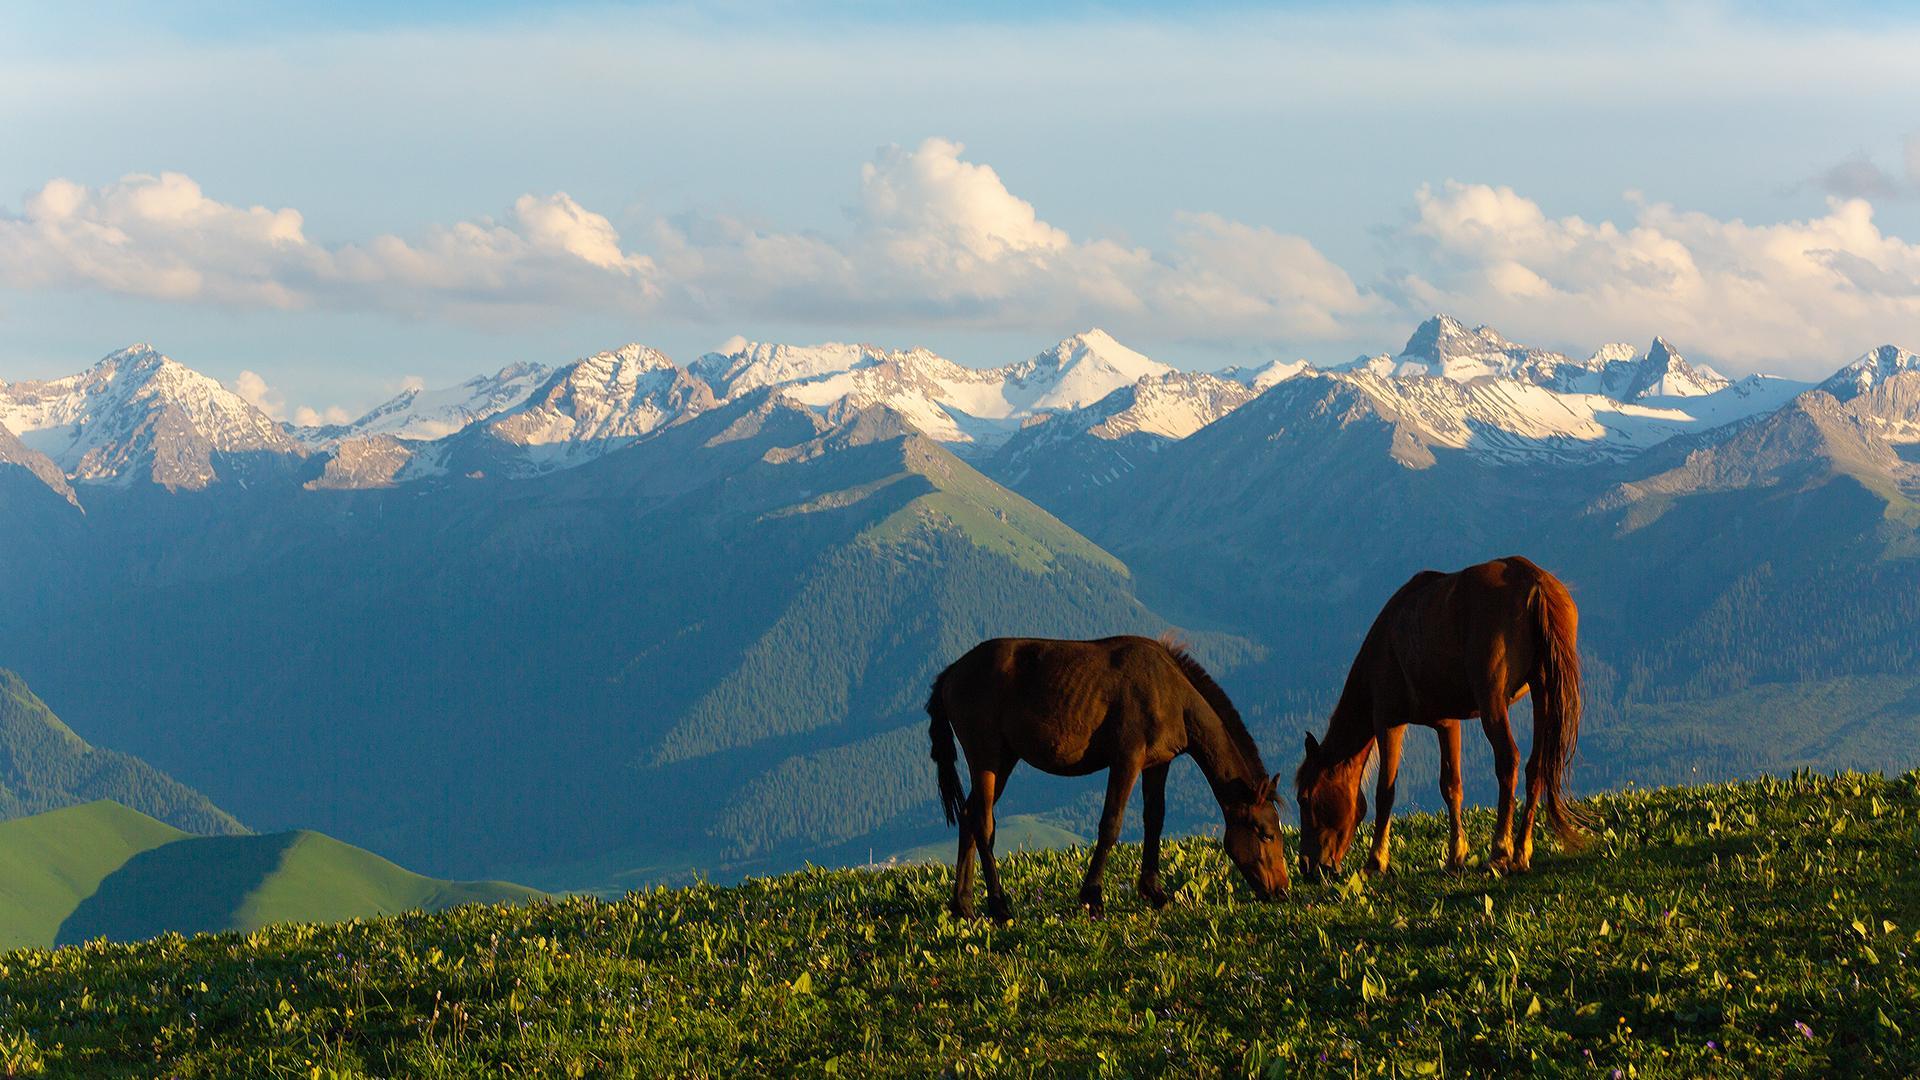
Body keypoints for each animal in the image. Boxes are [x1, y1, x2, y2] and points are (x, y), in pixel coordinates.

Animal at [929, 630, 1290, 914]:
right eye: (1265, 834)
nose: (1282, 890)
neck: (1170, 692)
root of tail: (952, 671)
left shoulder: (1157, 764)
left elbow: (1154, 820)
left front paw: (1154, 892)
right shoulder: (1127, 760)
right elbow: (1111, 825)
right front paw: (1092, 897)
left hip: (1003, 760)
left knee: (968, 815)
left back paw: (963, 905)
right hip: (986, 757)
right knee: (982, 822)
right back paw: (999, 907)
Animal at [1290, 553, 1589, 876]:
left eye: (1305, 799)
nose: (1307, 867)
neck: (1385, 646)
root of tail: (1534, 581)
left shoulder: (1388, 723)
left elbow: (1385, 792)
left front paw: (1375, 861)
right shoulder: (1447, 724)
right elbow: (1451, 786)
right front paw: (1455, 855)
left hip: (1493, 702)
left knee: (1508, 760)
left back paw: (1500, 852)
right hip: (1542, 690)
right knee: (1536, 767)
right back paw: (1521, 853)